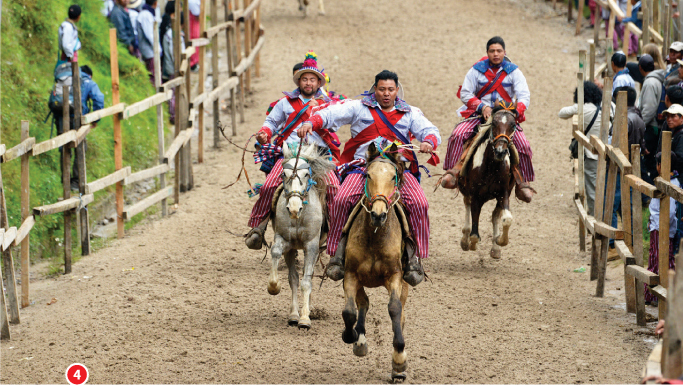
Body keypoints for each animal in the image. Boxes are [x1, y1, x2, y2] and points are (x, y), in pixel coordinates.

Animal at [268, 142, 334, 328]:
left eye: (306, 174)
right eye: (284, 174)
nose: (293, 208)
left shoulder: (311, 246)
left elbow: (306, 281)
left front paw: (305, 318)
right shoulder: (285, 242)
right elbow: (279, 257)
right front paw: (274, 287)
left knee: (307, 277)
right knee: (297, 278)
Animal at [338, 142, 408, 380]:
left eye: (393, 177)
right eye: (368, 174)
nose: (378, 214)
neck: (375, 236)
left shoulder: (395, 276)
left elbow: (394, 309)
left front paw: (399, 359)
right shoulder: (350, 275)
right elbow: (349, 311)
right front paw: (351, 336)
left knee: (400, 312)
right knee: (363, 304)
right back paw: (359, 340)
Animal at [460, 103, 520, 258]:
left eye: (513, 125)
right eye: (494, 123)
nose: (500, 151)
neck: (492, 168)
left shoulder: (503, 193)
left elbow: (506, 219)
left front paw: (500, 241)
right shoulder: (475, 196)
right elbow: (474, 234)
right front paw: (471, 243)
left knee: (495, 215)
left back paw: (495, 248)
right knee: (467, 205)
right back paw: (464, 240)